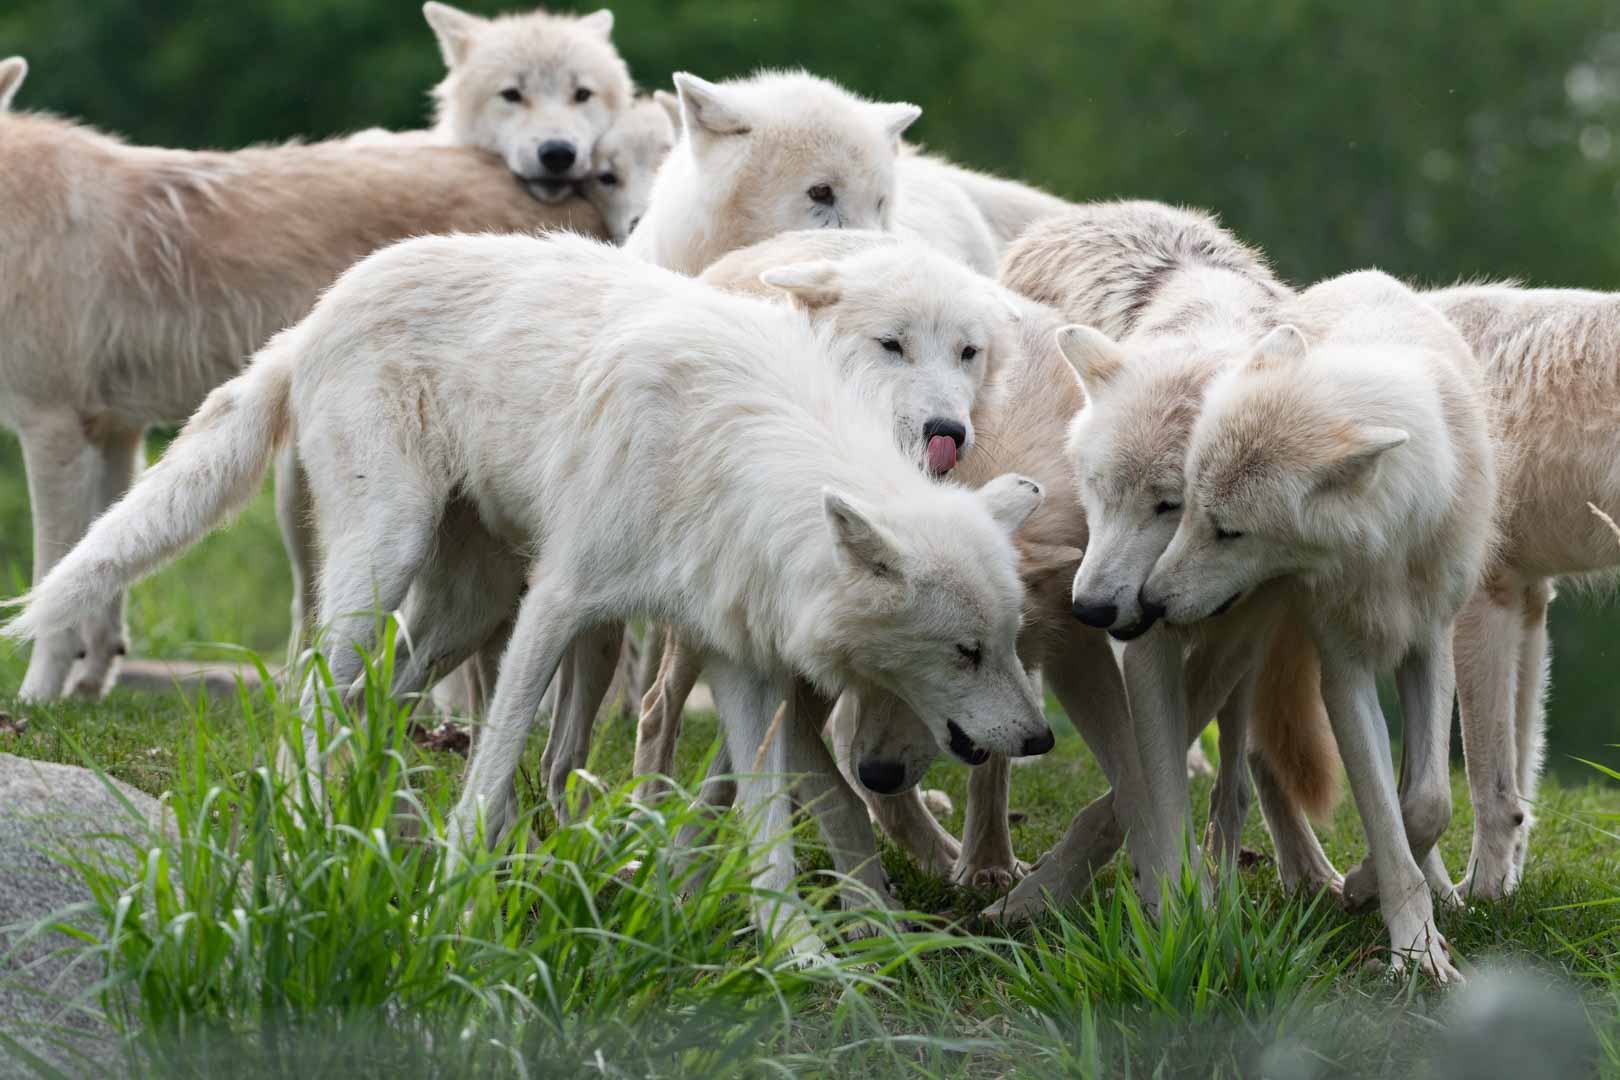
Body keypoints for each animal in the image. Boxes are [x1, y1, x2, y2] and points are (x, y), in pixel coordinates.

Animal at [0, 58, 600, 702]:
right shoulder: (117, 430)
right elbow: (99, 581)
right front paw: (88, 688)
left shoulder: (51, 425)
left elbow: (52, 574)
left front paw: (37, 698)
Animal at [4, 232, 1053, 951]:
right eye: (965, 652)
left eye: (1012, 642)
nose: (1041, 738)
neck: (731, 454)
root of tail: (321, 307)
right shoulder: (561, 603)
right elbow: (503, 754)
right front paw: (461, 893)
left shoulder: (741, 660)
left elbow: (768, 829)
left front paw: (805, 957)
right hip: (391, 560)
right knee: (310, 687)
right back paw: (308, 818)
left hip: (463, 605)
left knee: (378, 697)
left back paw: (355, 819)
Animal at [1141, 270, 1495, 982]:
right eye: (1187, 508)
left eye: (1230, 531)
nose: (1151, 602)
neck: (1384, 548)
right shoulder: (1343, 670)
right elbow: (1386, 816)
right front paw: (1413, 944)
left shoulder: (1429, 646)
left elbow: (1426, 803)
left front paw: (1382, 895)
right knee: (1258, 757)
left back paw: (1441, 890)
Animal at [1427, 283, 1620, 900]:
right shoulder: (1527, 598)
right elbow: (1520, 784)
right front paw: (1505, 894)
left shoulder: (1476, 605)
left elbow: (1488, 787)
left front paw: (1479, 899)